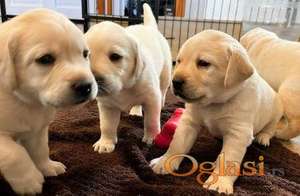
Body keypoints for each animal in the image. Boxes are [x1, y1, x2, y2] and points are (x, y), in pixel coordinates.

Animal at [0, 8, 97, 193]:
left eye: (85, 54)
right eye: (45, 59)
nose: (85, 86)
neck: (28, 101)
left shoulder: (38, 129)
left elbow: (41, 149)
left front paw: (47, 167)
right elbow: (14, 153)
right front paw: (29, 181)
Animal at [85, 3, 172, 153]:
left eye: (115, 56)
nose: (94, 81)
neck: (123, 87)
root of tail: (148, 27)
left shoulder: (151, 98)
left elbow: (151, 121)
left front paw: (152, 137)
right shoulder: (106, 106)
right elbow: (106, 125)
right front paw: (105, 142)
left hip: (165, 74)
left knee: (163, 91)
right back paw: (135, 112)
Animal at [150, 30, 284, 194]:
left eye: (203, 63)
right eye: (179, 61)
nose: (175, 82)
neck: (214, 103)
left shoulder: (238, 133)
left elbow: (228, 159)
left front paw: (220, 183)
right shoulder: (189, 122)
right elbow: (177, 144)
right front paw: (164, 161)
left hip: (276, 111)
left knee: (270, 128)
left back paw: (263, 137)